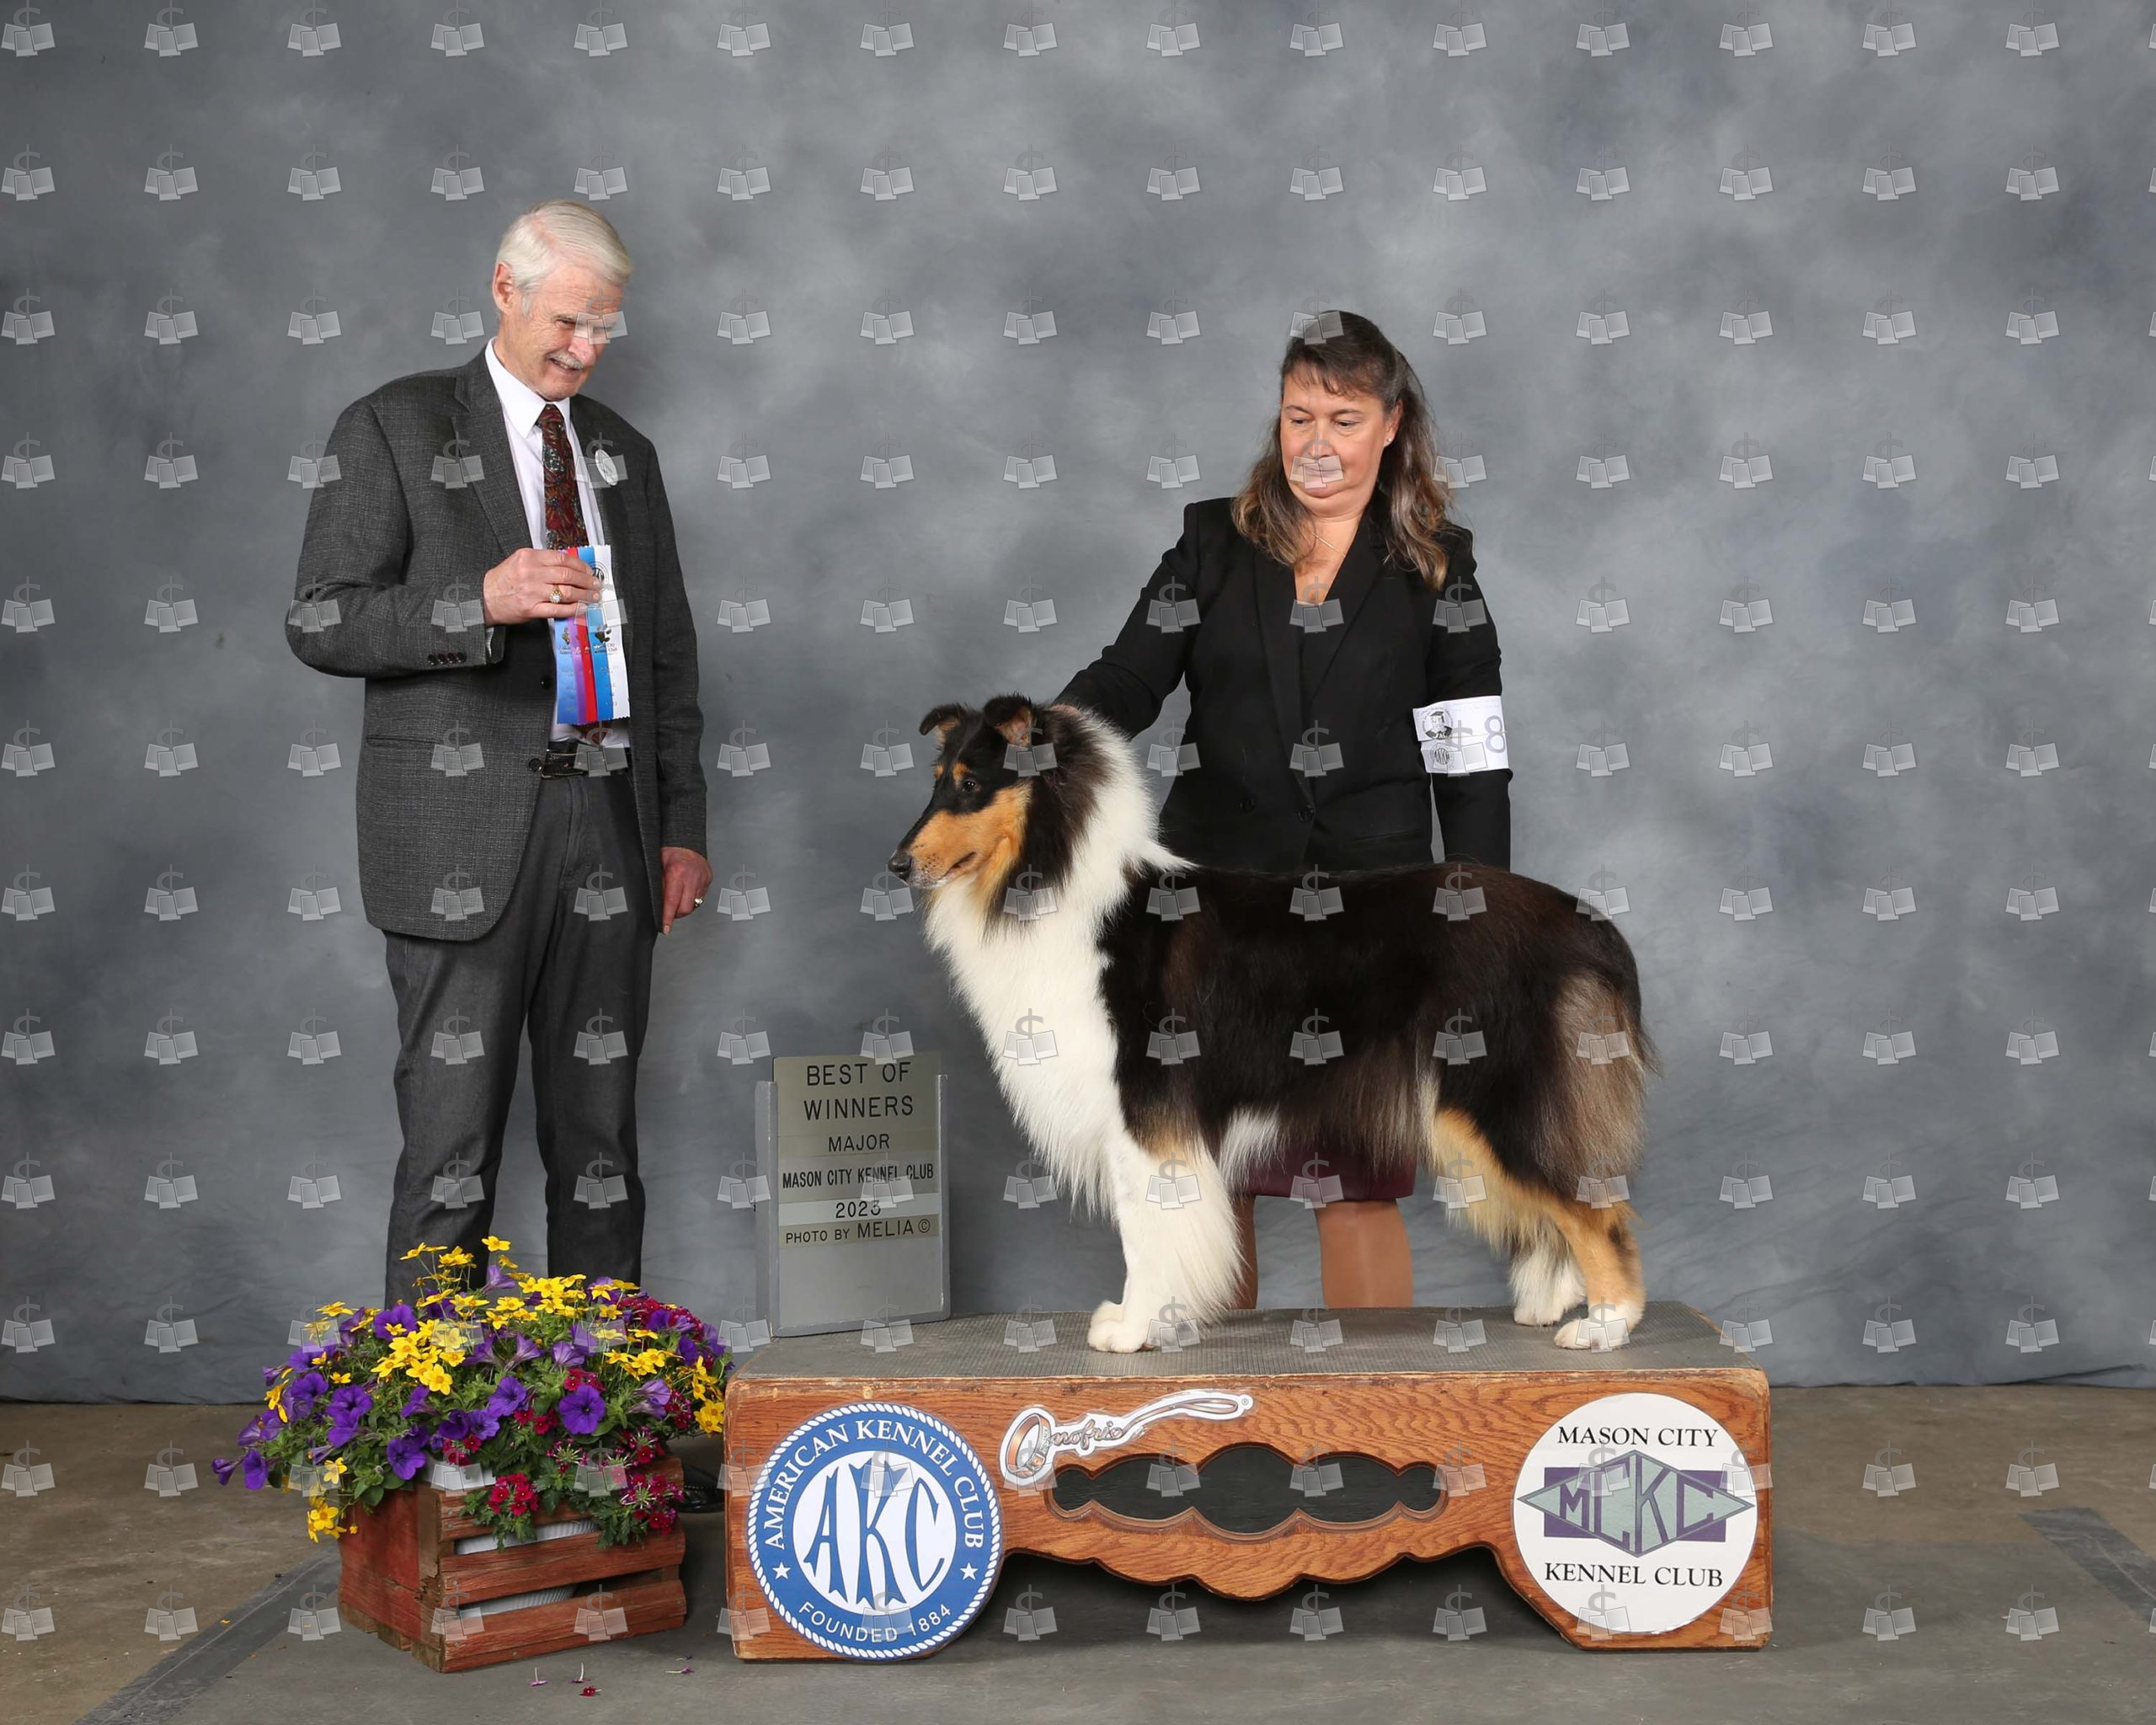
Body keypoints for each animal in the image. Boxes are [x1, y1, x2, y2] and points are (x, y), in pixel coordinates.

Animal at [889, 694, 1661, 1353]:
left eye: (970, 784)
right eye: (937, 782)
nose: (897, 865)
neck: (1057, 876)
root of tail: (1585, 922)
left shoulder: (1144, 1107)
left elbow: (1143, 1228)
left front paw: (1134, 1328)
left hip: (1499, 1097)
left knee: (1599, 1211)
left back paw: (1604, 1325)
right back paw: (1553, 1305)